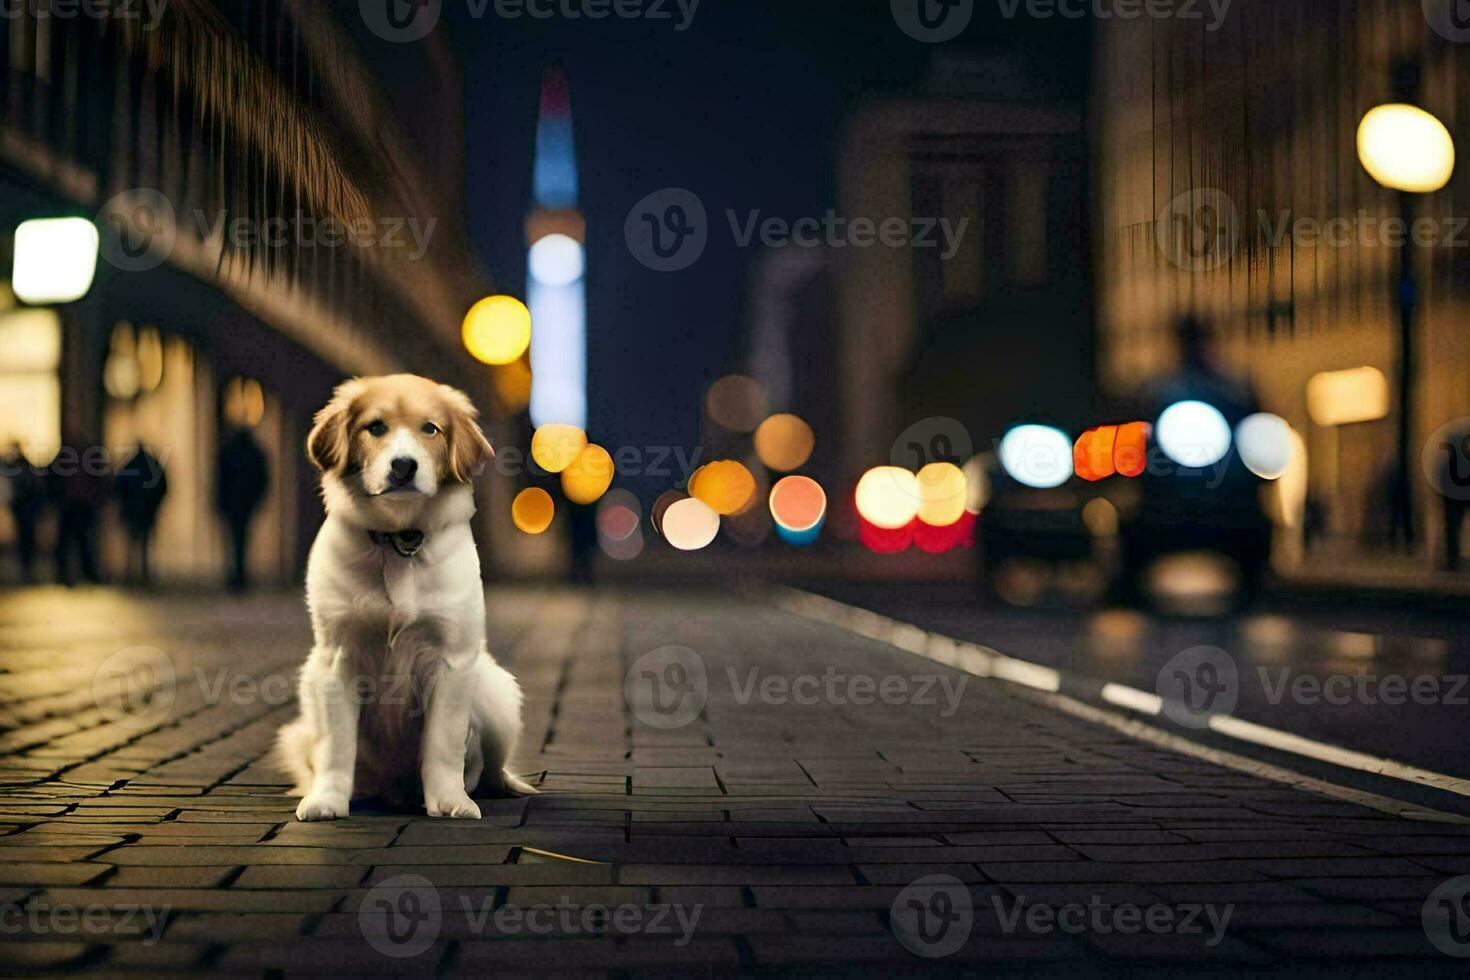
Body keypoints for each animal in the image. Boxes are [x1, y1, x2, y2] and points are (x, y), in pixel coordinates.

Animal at [274, 376, 535, 822]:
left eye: (430, 429)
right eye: (375, 427)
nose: (403, 466)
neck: (399, 541)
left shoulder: (451, 661)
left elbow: (443, 744)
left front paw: (450, 802)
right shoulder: (336, 660)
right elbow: (336, 746)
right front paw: (327, 800)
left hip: (497, 695)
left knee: (491, 768)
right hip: (300, 720)